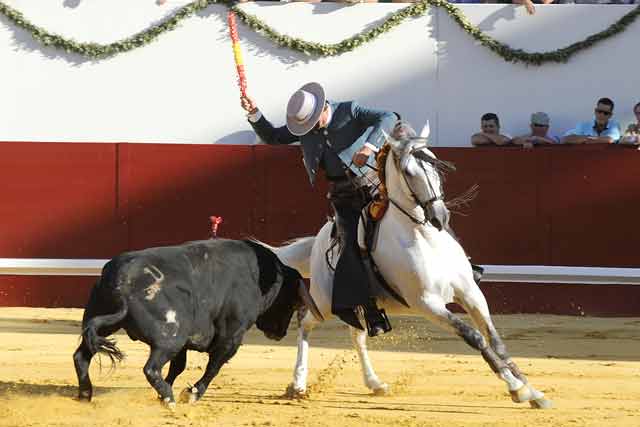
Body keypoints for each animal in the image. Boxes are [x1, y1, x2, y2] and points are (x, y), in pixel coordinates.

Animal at [73, 239, 322, 406]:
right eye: (291, 303)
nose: (279, 333)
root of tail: (122, 281)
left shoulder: (188, 342)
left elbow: (178, 366)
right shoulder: (232, 335)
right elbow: (214, 366)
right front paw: (192, 393)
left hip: (108, 324)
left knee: (81, 357)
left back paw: (86, 394)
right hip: (170, 336)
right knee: (151, 368)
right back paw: (169, 398)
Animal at [268, 131, 552, 412]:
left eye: (436, 166)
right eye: (408, 172)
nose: (439, 216)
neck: (425, 237)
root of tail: (319, 239)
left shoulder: (470, 292)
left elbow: (495, 341)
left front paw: (533, 392)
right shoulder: (427, 303)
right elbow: (474, 337)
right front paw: (516, 388)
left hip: (360, 304)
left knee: (357, 335)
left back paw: (375, 384)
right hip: (326, 300)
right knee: (305, 321)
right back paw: (298, 384)